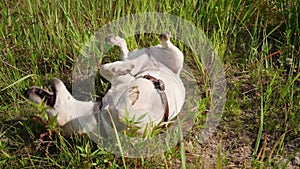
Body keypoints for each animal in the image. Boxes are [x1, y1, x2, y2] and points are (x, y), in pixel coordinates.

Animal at [25, 32, 185, 139]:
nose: (26, 91)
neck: (98, 112)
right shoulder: (143, 127)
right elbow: (120, 113)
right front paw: (130, 95)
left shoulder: (123, 80)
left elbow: (103, 68)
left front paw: (124, 69)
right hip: (176, 57)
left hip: (152, 58)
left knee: (127, 54)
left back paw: (118, 44)